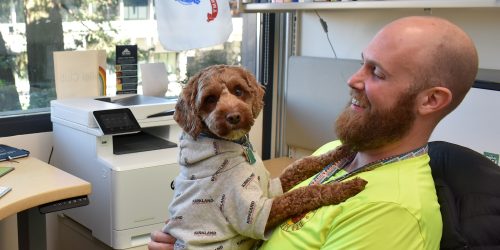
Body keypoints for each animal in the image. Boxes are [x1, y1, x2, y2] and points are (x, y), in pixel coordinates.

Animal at [168, 64, 368, 248]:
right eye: (210, 99)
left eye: (238, 90)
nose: (234, 117)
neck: (237, 145)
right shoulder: (254, 212)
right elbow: (301, 194)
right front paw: (346, 186)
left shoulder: (270, 186)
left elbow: (302, 165)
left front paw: (343, 150)